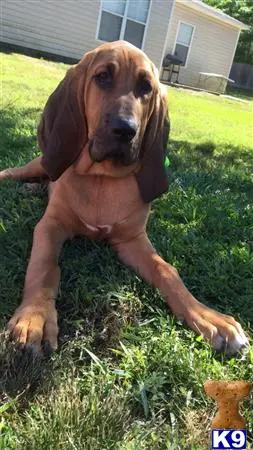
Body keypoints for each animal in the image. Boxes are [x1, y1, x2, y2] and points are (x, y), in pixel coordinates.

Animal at [0, 39, 248, 356]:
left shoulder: (132, 239)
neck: (102, 179)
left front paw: (209, 317)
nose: (125, 129)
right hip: (39, 164)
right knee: (14, 172)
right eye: (103, 77)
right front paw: (35, 318)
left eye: (146, 87)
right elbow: (43, 266)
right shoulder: (50, 226)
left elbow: (167, 270)